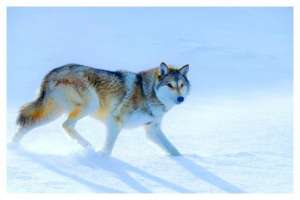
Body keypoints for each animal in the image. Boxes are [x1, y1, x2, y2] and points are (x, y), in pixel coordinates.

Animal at [12, 62, 190, 156]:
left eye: (181, 85)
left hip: (57, 111)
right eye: (170, 85)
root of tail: (52, 72)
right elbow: (109, 147)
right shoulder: (115, 122)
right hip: (87, 105)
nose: (181, 99)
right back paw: (87, 146)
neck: (148, 93)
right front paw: (103, 160)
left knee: (30, 124)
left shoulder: (152, 130)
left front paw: (183, 160)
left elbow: (172, 149)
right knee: (64, 125)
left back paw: (13, 147)